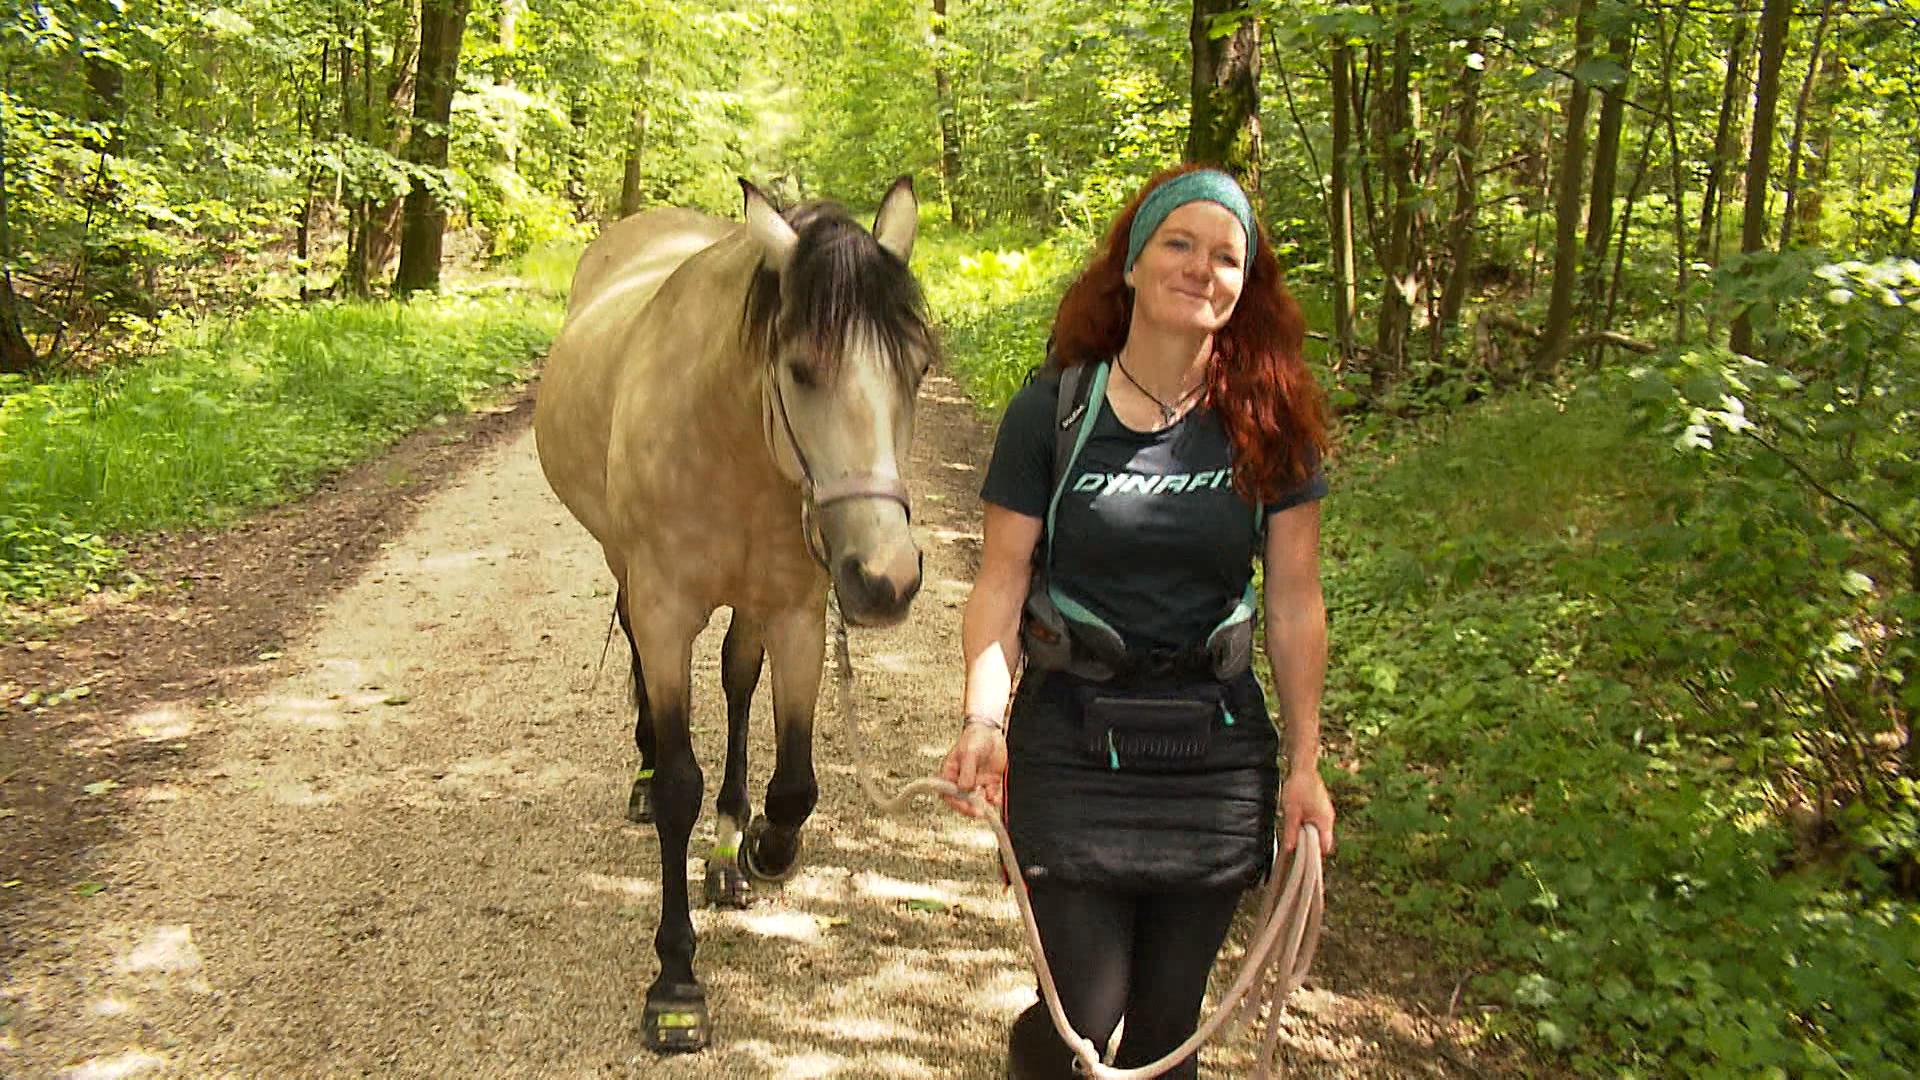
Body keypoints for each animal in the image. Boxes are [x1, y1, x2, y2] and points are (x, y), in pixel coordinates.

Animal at [532, 177, 935, 1052]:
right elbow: (681, 782)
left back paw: (725, 847)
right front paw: (676, 982)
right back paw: (645, 773)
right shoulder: (664, 609)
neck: (732, 442)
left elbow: (795, 782)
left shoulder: (796, 614)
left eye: (918, 368)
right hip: (623, 566)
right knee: (641, 664)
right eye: (801, 368)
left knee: (739, 684)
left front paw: (758, 847)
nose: (885, 579)